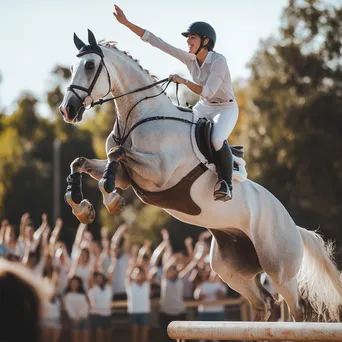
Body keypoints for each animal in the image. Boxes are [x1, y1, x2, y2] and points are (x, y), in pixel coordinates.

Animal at [59, 30, 342, 322]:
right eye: (71, 68)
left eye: (89, 66)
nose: (67, 110)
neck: (139, 117)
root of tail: (294, 227)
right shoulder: (130, 176)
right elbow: (81, 163)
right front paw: (84, 208)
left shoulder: (158, 173)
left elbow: (116, 156)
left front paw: (110, 200)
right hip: (231, 268)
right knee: (263, 302)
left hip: (279, 269)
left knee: (297, 307)